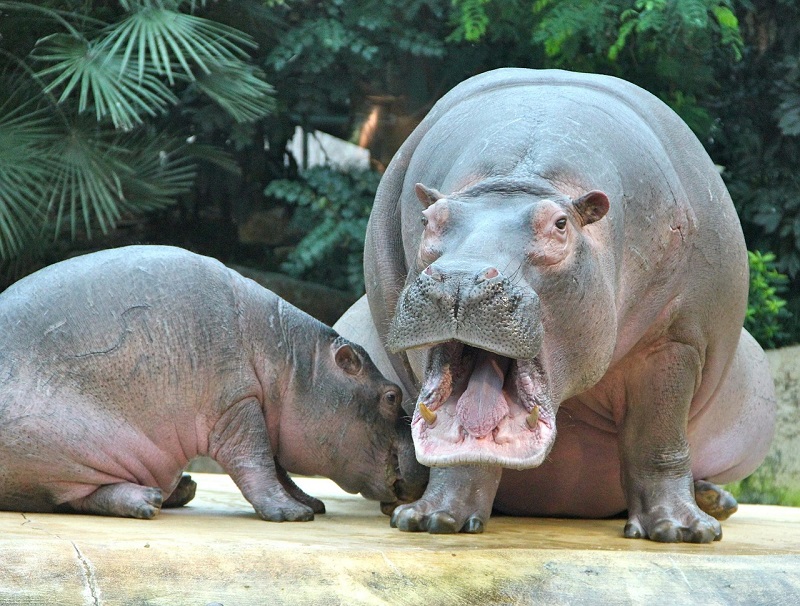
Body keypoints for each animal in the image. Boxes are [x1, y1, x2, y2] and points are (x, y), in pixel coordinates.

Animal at [0, 245, 425, 520]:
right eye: (391, 396)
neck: (295, 363)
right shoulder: (237, 406)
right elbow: (256, 461)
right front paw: (291, 513)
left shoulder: (263, 410)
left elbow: (278, 468)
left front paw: (310, 504)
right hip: (64, 441)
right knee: (72, 497)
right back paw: (148, 500)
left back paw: (180, 489)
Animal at [335, 68, 777, 542]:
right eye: (429, 220)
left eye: (560, 224)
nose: (460, 279)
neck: (519, 178)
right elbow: (459, 451)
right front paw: (431, 519)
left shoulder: (676, 341)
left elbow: (656, 438)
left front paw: (679, 530)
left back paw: (715, 503)